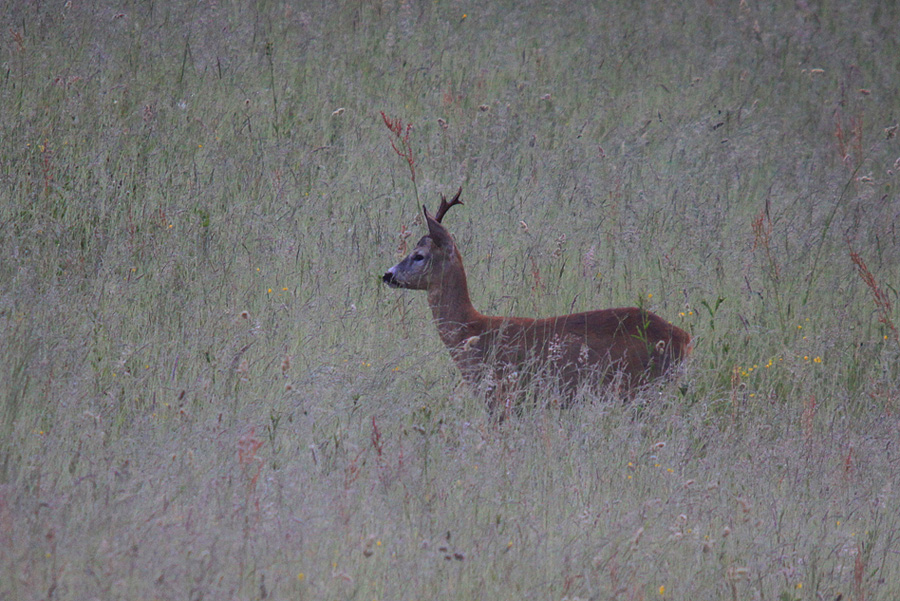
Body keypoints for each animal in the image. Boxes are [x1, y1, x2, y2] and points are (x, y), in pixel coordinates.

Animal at [384, 188, 692, 412]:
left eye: (418, 255)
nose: (387, 274)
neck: (472, 331)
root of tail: (684, 338)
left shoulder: (502, 394)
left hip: (641, 387)